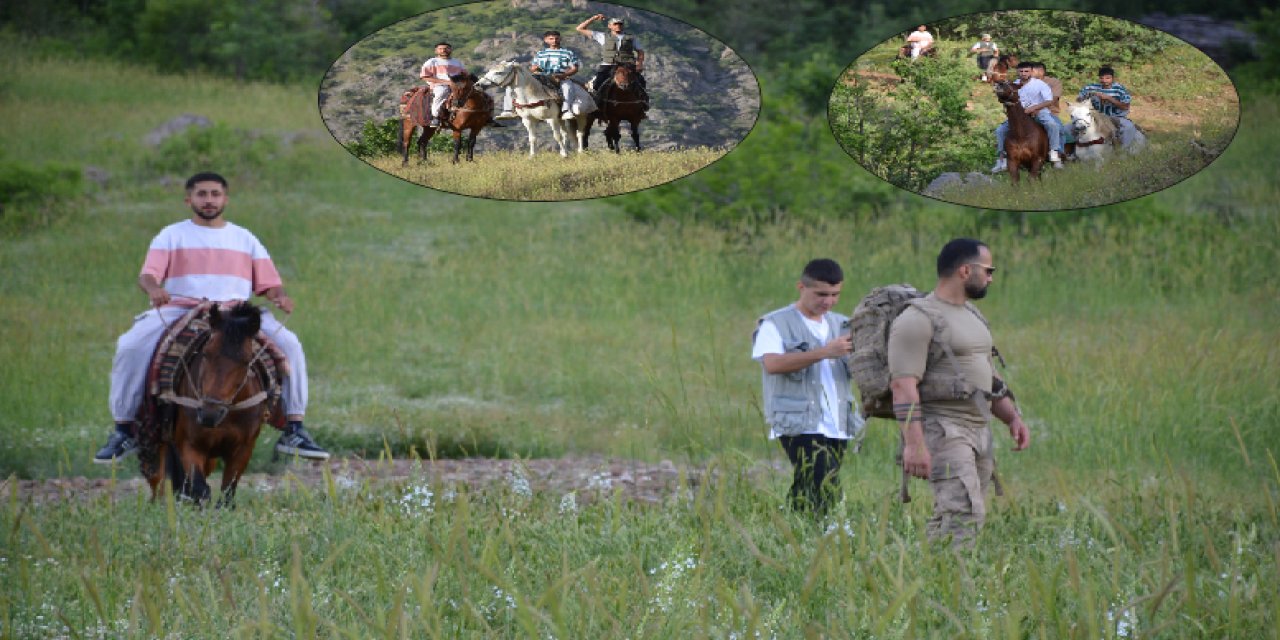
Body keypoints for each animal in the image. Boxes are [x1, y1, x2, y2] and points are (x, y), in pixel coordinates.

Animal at [144, 302, 276, 506]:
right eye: (206, 353)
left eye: (246, 360)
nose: (209, 414)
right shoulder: (189, 445)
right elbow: (200, 489)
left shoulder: (244, 449)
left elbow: (226, 495)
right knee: (159, 481)